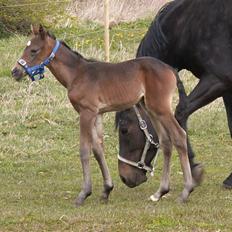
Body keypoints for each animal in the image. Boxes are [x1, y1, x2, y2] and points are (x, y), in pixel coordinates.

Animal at [11, 25, 195, 207]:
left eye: (33, 50)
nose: (15, 72)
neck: (77, 74)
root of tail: (170, 69)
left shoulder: (86, 112)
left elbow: (84, 150)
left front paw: (83, 194)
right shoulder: (97, 114)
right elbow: (98, 149)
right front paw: (107, 190)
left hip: (161, 108)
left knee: (179, 136)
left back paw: (186, 191)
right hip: (151, 109)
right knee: (166, 141)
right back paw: (159, 192)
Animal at [117, 0, 232, 189]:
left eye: (124, 130)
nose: (125, 177)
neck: (188, 25)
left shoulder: (218, 80)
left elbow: (181, 112)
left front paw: (194, 169)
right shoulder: (227, 88)